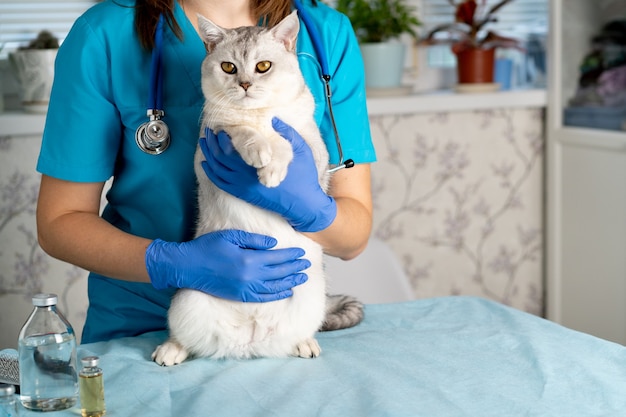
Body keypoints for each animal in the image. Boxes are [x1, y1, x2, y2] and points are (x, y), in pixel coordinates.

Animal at [152, 9, 364, 364]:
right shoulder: (213, 141)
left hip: (313, 298)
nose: (245, 84)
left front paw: (273, 173)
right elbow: (244, 132)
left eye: (263, 66)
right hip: (187, 298)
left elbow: (287, 142)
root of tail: (248, 339)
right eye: (228, 67)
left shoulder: (314, 152)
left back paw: (305, 344)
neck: (261, 116)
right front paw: (261, 153)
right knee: (185, 337)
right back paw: (170, 350)